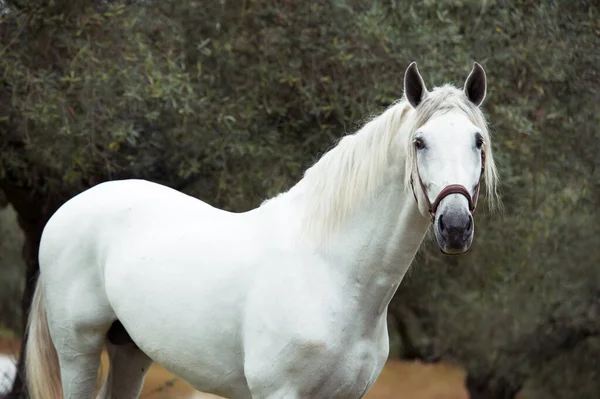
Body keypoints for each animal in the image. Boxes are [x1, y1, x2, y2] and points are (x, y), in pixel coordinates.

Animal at [24, 62, 496, 399]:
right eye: (419, 142)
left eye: (478, 141)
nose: (455, 226)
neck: (331, 272)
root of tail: (67, 209)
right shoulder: (278, 392)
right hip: (78, 352)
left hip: (129, 352)